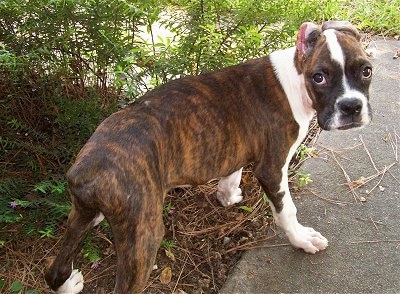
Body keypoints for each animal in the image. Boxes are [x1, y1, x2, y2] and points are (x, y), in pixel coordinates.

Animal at [46, 21, 372, 294]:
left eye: (366, 71)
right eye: (319, 77)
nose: (352, 107)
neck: (296, 77)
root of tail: (89, 170)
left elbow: (231, 175)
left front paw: (227, 196)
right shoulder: (272, 168)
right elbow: (286, 210)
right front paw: (302, 239)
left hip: (85, 214)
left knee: (54, 269)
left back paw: (67, 283)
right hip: (142, 236)